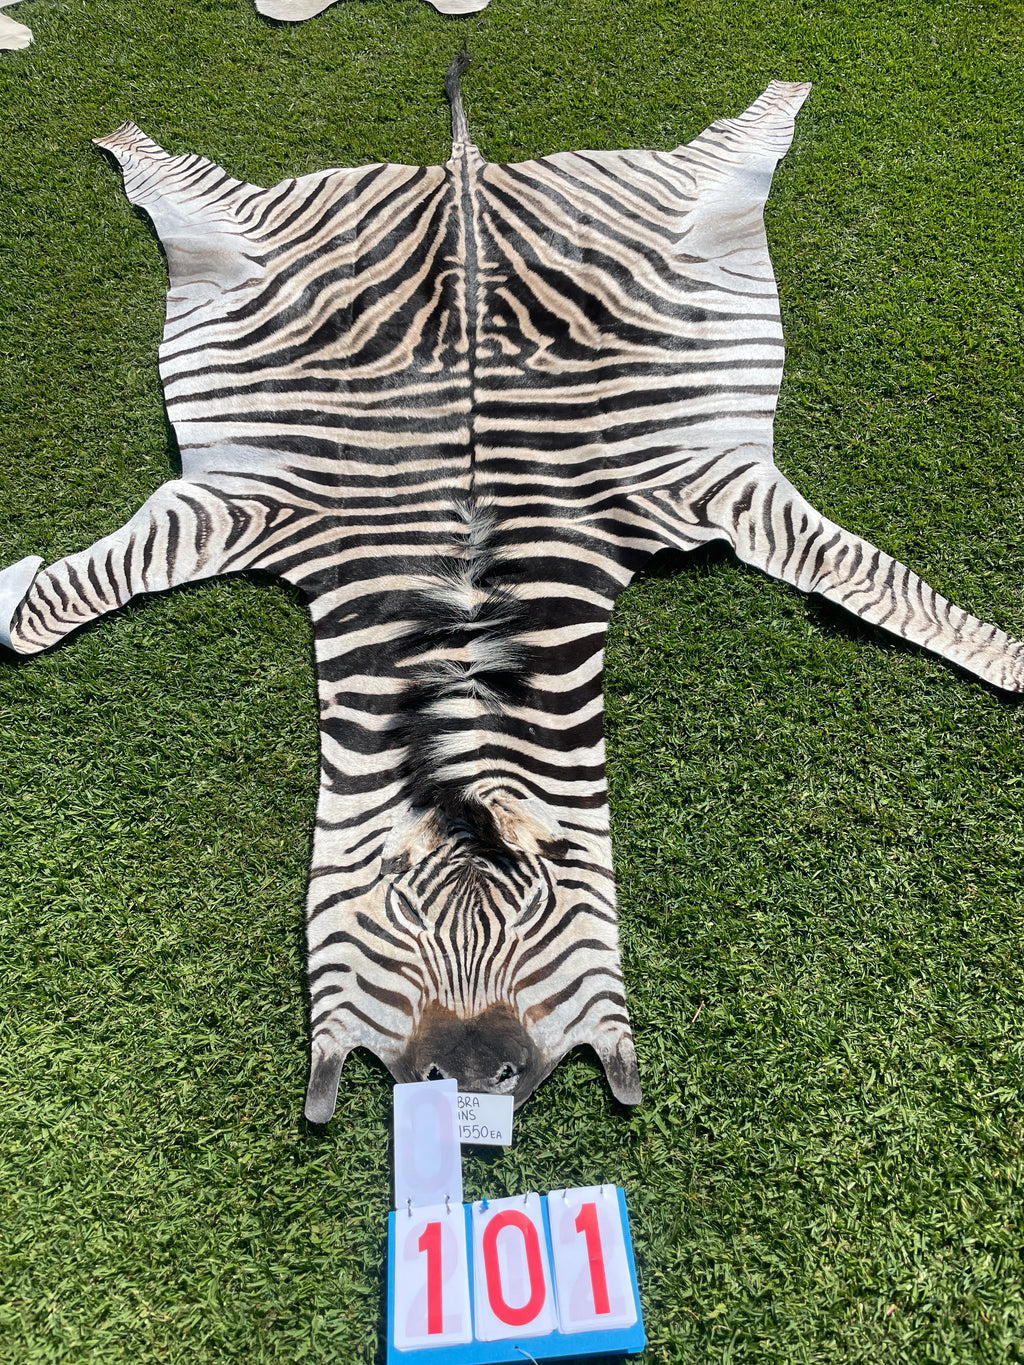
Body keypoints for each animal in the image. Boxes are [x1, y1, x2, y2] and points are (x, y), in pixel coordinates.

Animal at [2, 60, 1022, 1125]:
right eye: (398, 918)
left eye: (542, 914)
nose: (469, 1073)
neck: (462, 634)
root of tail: (464, 176)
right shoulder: (252, 503)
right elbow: (48, 614)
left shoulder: (699, 487)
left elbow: (872, 581)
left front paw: (1010, 660)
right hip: (247, 237)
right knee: (181, 186)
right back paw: (122, 134)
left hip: (679, 200)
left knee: (736, 150)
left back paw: (785, 92)